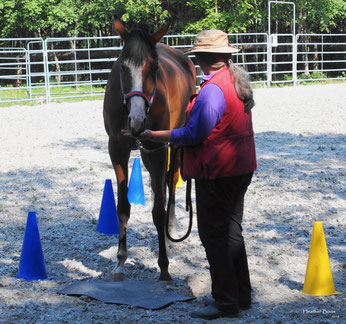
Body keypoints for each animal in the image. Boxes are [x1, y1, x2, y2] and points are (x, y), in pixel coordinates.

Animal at [102, 15, 195, 280]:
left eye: (154, 68)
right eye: (122, 68)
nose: (136, 120)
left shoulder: (159, 148)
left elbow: (158, 211)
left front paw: (163, 266)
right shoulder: (117, 149)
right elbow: (122, 207)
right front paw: (120, 260)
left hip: (172, 145)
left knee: (170, 184)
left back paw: (170, 232)